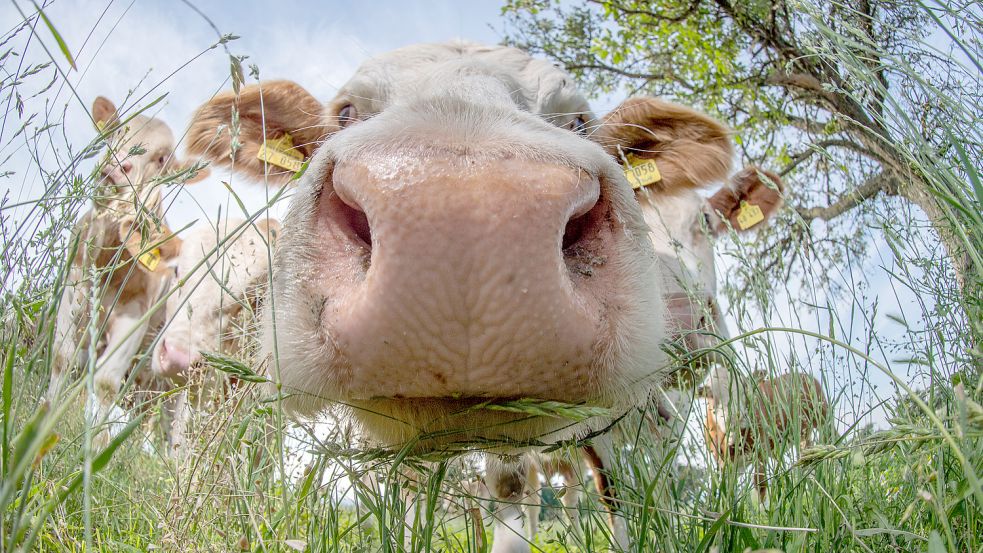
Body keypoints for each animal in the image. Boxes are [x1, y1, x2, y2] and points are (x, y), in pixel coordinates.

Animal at [51, 96, 207, 444]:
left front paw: (96, 443)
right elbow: (62, 360)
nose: (116, 166)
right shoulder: (72, 288)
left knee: (175, 430)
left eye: (161, 159)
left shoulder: (135, 316)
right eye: (118, 131)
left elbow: (105, 382)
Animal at [700, 366, 832, 500]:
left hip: (823, 418)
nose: (736, 417)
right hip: (803, 436)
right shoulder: (725, 462)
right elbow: (726, 489)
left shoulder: (761, 450)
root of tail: (801, 373)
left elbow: (760, 485)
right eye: (711, 395)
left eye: (745, 389)